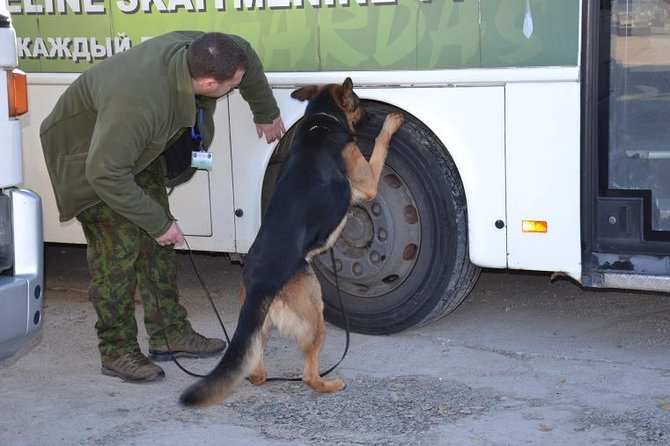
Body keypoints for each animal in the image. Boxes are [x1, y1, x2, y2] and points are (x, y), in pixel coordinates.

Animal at [178, 77, 404, 408]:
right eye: (359, 103)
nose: (373, 115)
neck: (320, 123)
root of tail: (260, 285)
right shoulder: (368, 182)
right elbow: (379, 146)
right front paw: (390, 123)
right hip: (315, 314)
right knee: (308, 374)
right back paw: (329, 384)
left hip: (259, 329)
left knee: (254, 369)